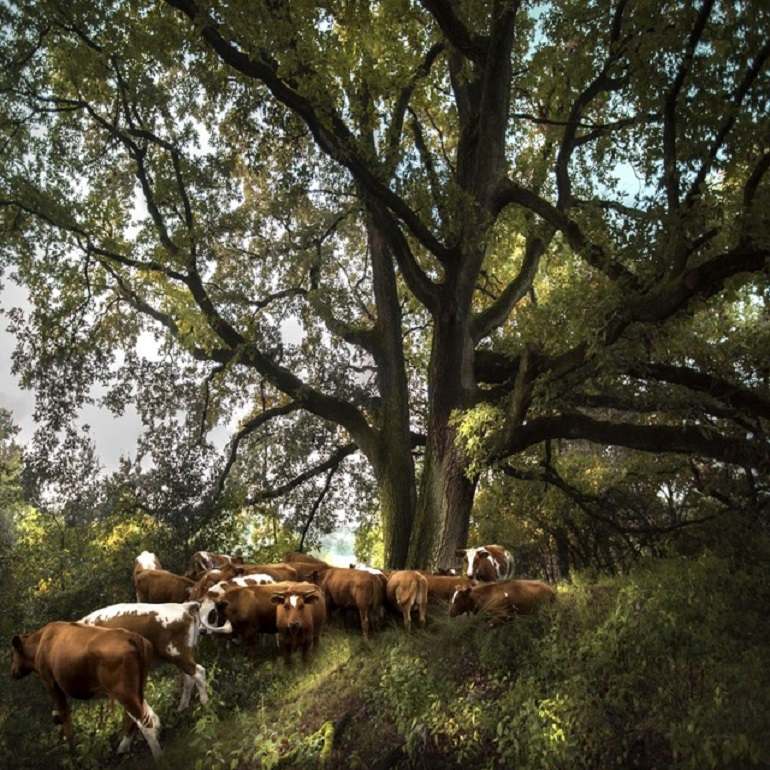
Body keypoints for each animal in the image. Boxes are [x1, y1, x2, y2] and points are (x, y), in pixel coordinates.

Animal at [78, 596, 207, 712]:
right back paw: (182, 707)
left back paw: (205, 702)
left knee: (199, 672)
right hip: (180, 655)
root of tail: (184, 607)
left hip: (176, 653)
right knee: (189, 678)